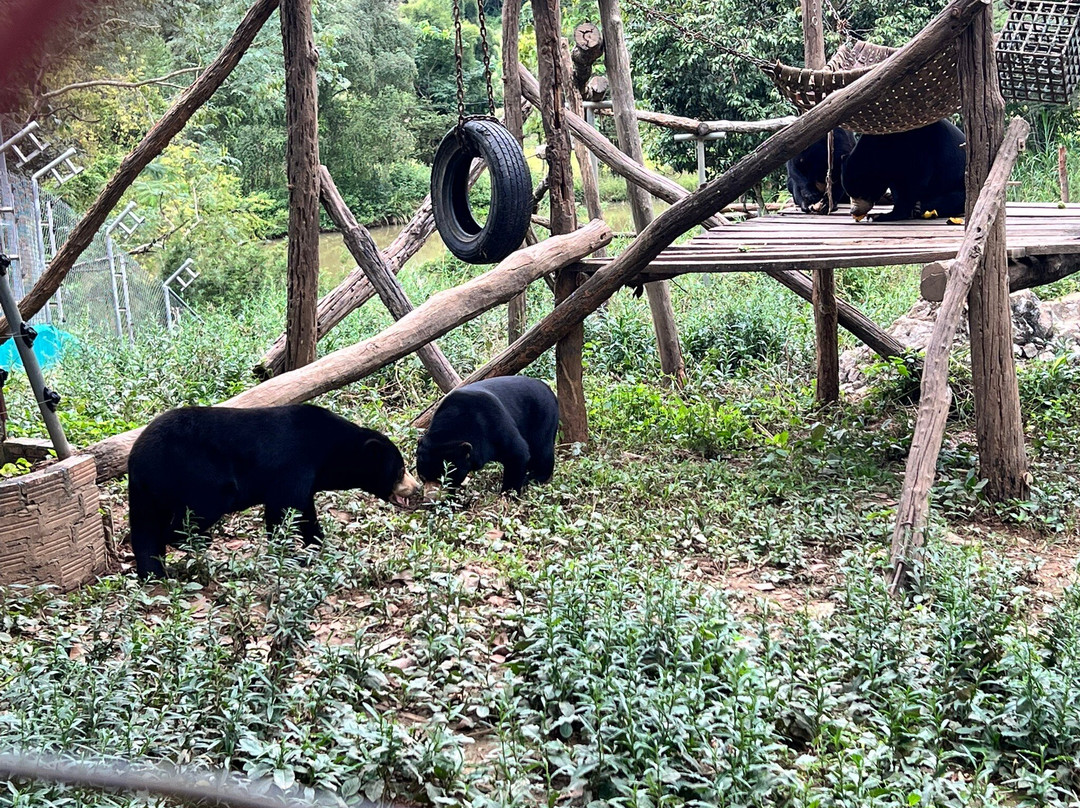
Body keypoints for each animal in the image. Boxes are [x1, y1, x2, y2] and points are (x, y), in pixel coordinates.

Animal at [127, 404, 421, 578]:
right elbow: (283, 507)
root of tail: (137, 457)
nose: (416, 488)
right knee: (197, 509)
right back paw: (196, 541)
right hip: (195, 472)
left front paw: (316, 544)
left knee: (145, 526)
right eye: (400, 469)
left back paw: (153, 571)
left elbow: (304, 511)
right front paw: (290, 555)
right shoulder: (294, 463)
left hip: (149, 491)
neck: (331, 450)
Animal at [416, 376, 559, 495]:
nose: (430, 498)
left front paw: (507, 494)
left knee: (542, 449)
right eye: (422, 477)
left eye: (445, 479)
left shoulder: (494, 424)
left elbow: (517, 453)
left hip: (543, 416)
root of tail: (547, 387)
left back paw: (534, 477)